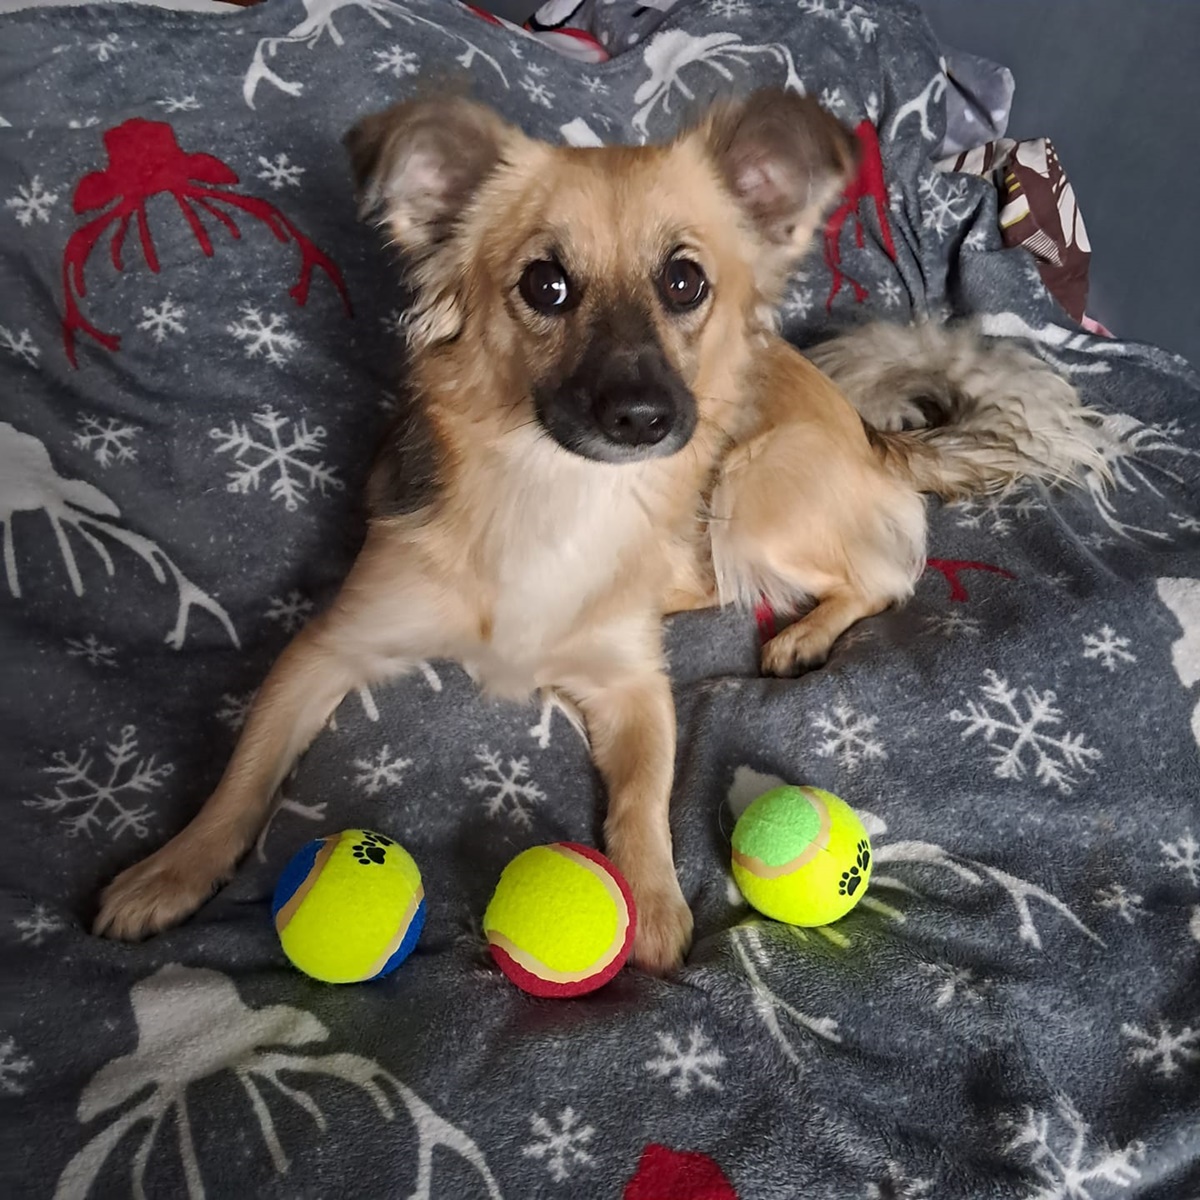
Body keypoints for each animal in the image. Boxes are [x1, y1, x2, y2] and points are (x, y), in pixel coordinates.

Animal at [94, 89, 1106, 973]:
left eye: (684, 280)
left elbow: (642, 805)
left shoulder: (634, 688)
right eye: (545, 285)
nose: (644, 418)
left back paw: (806, 636)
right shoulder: (328, 646)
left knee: (885, 576)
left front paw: (654, 906)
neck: (555, 491)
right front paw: (172, 871)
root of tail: (867, 432)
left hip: (751, 484)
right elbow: (241, 777)